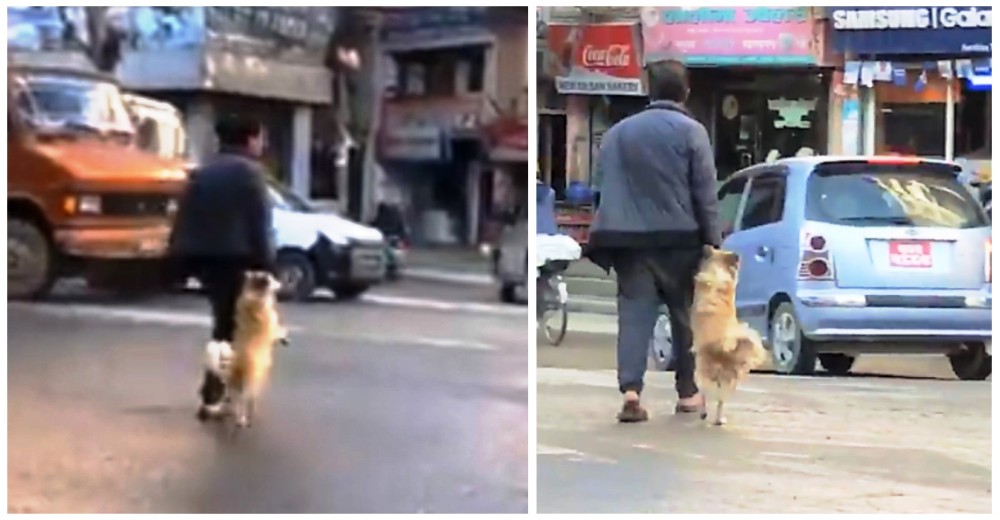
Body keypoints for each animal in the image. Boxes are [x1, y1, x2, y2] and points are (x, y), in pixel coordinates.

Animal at [696, 247, 764, 426]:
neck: (717, 270)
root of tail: (724, 351)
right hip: (730, 378)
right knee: (721, 399)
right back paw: (719, 419)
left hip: (702, 371)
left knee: (706, 394)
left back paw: (704, 413)